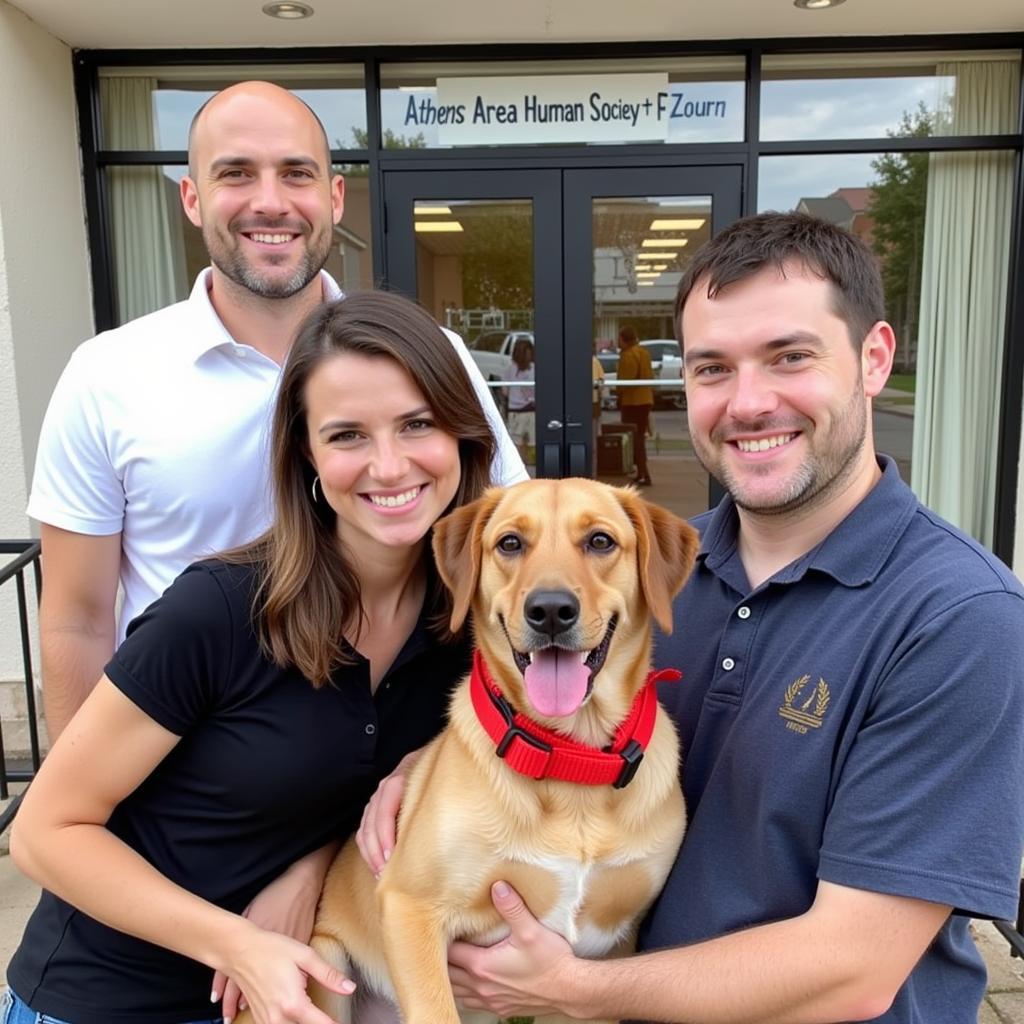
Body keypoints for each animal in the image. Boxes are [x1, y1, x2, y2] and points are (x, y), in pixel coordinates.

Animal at [248, 479, 700, 1024]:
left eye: (600, 541)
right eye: (510, 543)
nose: (550, 611)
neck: (570, 755)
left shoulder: (599, 960)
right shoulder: (410, 906)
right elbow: (434, 1008)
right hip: (326, 963)